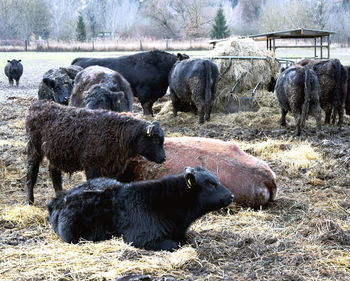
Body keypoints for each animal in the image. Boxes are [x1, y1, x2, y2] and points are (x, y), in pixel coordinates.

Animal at [26, 99, 165, 202]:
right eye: (156, 140)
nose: (164, 158)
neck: (117, 132)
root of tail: (37, 104)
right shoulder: (92, 167)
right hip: (34, 150)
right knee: (31, 173)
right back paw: (30, 201)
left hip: (55, 154)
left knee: (54, 172)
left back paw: (59, 194)